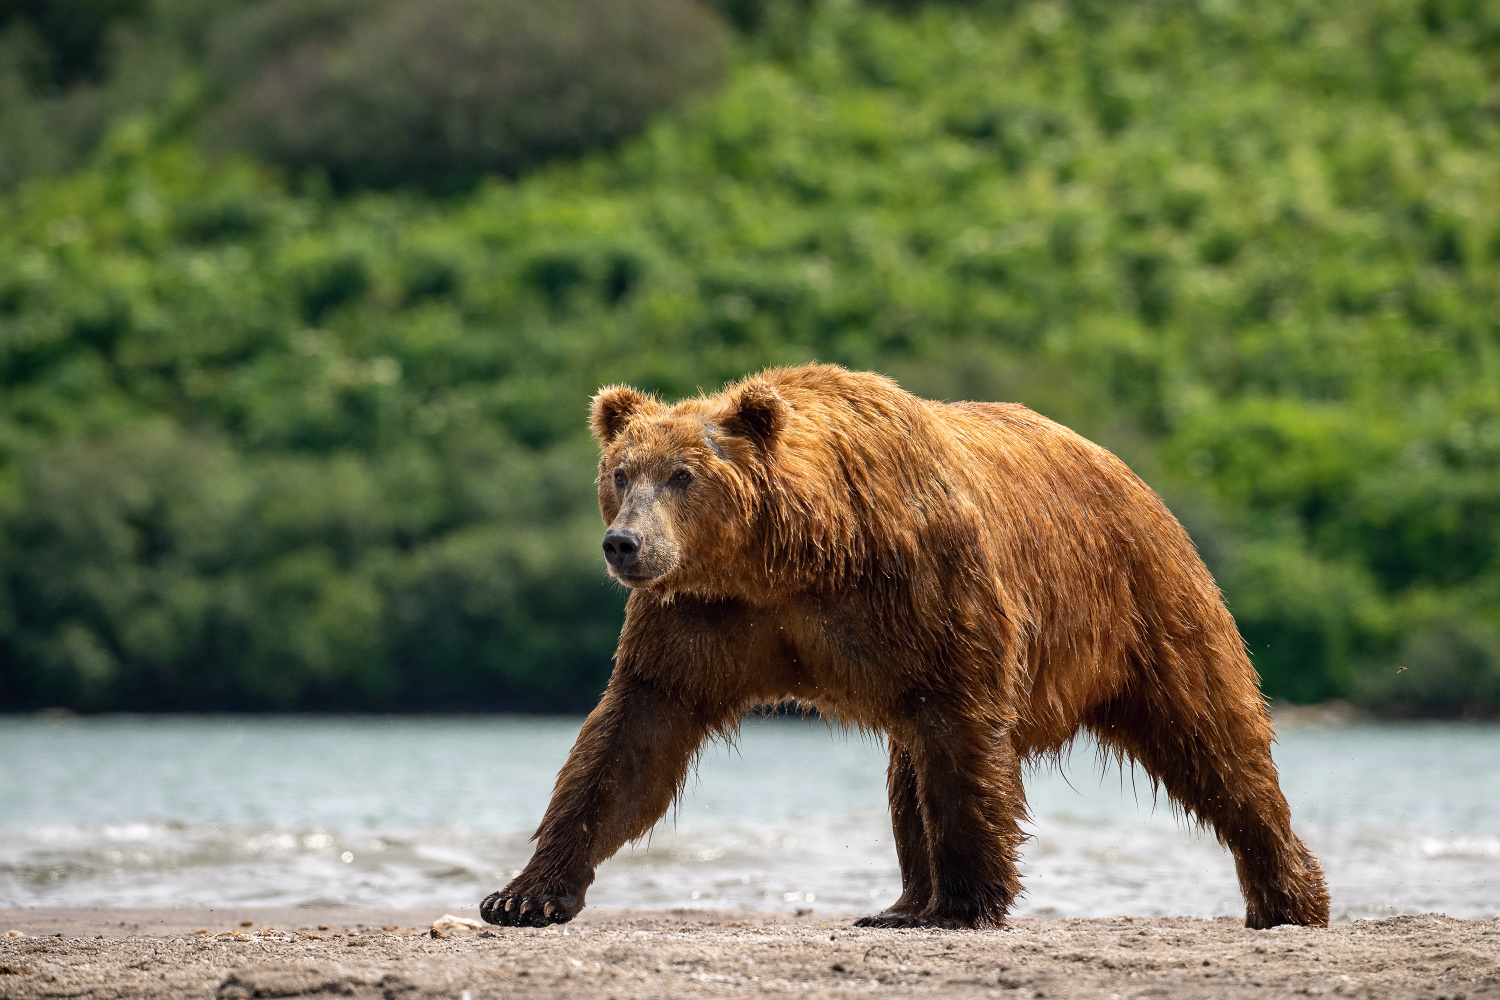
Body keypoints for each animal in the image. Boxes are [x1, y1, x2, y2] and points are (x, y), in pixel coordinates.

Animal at [477, 361, 1326, 929]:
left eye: (683, 475)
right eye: (621, 473)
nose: (625, 544)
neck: (793, 556)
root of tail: (1127, 472)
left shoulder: (926, 585)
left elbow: (964, 737)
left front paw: (968, 902)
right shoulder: (702, 617)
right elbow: (632, 740)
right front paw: (522, 894)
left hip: (1147, 602)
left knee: (1213, 734)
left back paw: (1290, 895)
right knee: (906, 768)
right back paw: (900, 901)